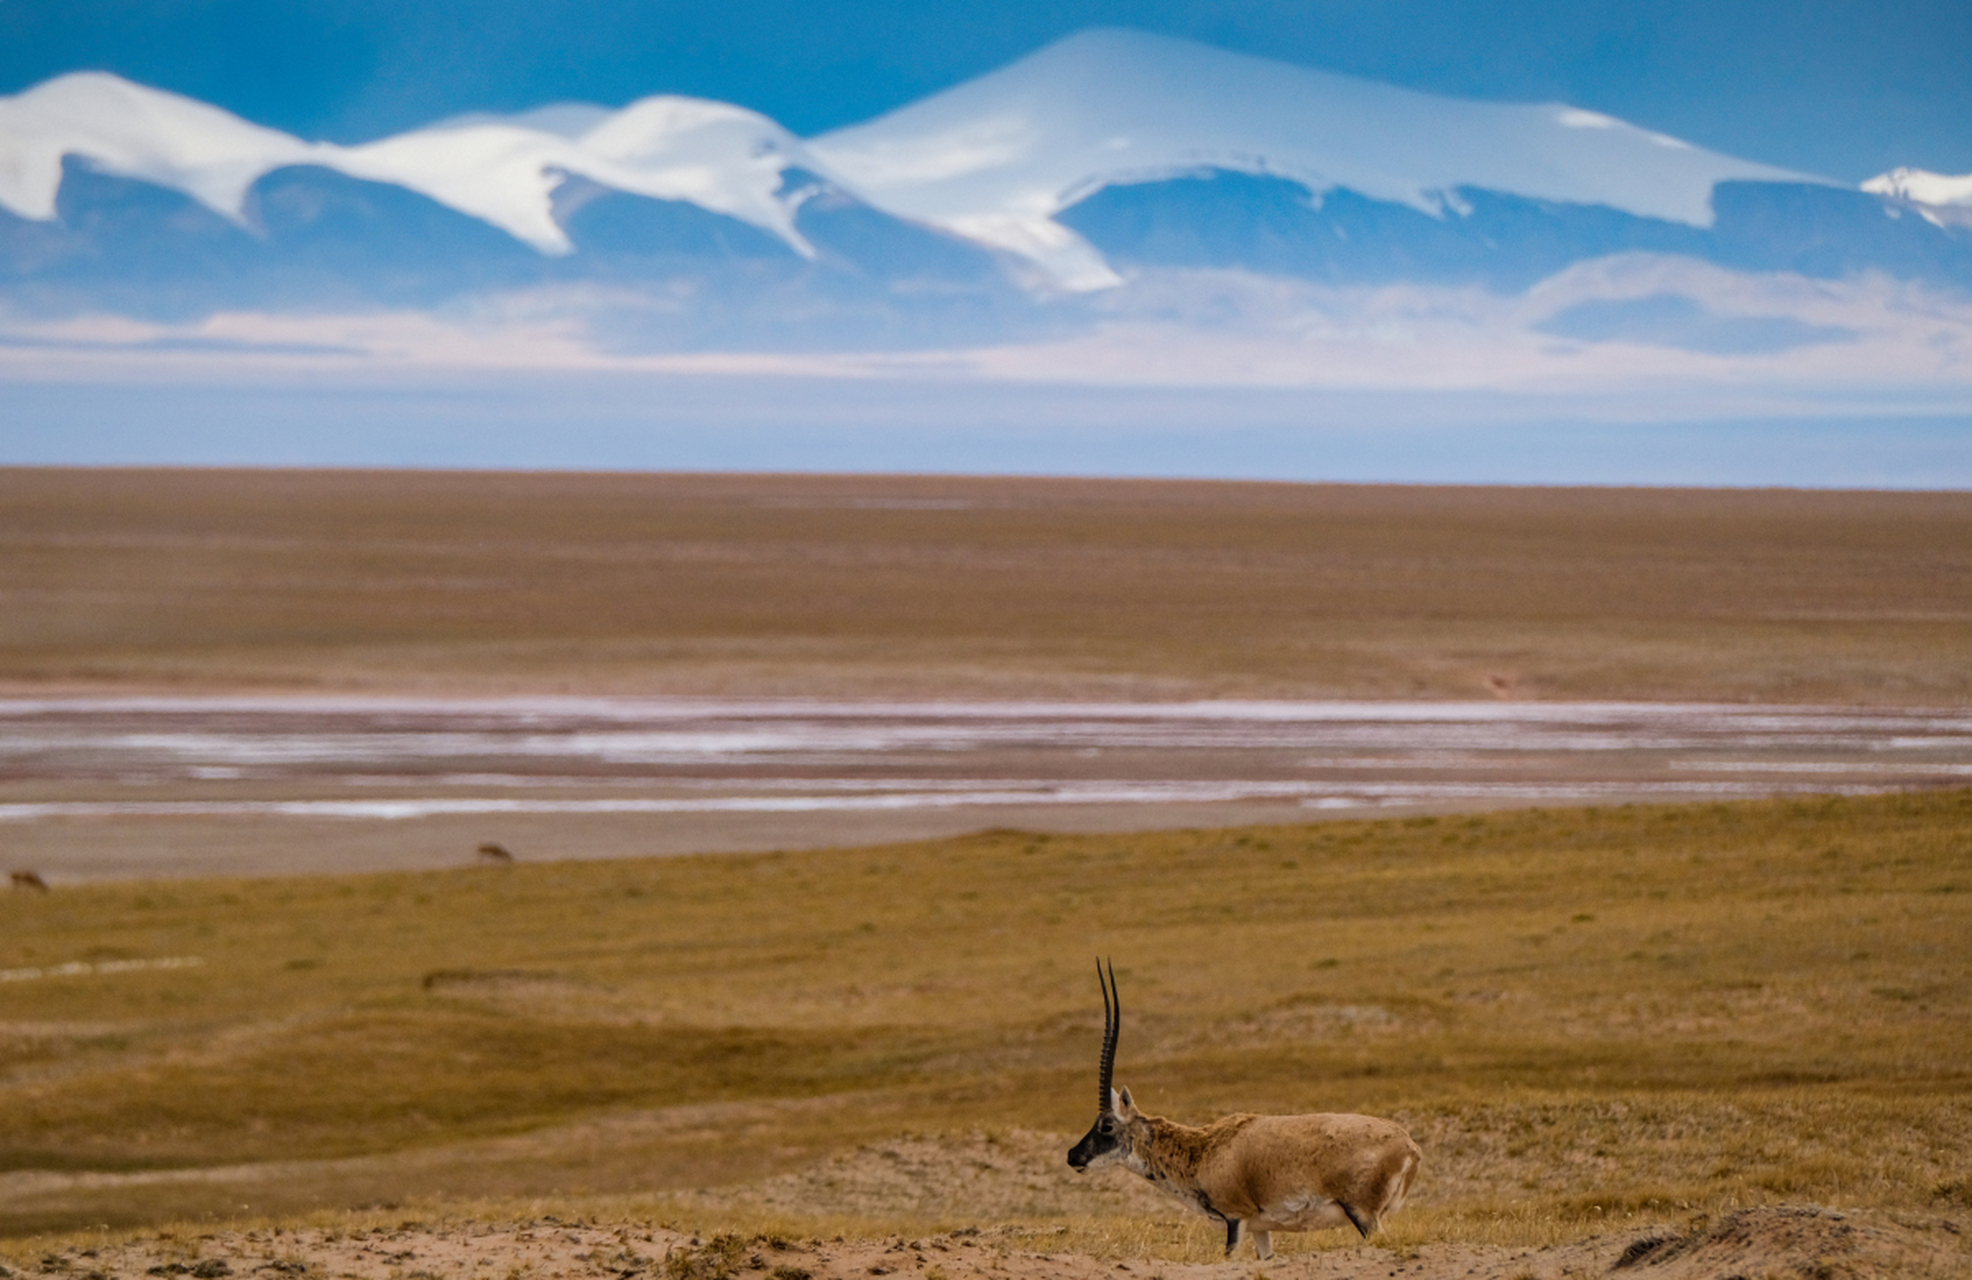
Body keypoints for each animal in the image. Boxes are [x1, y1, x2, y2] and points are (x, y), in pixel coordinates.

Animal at [1064, 958, 1419, 1254]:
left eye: (1106, 1125)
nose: (1073, 1156)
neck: (1203, 1149)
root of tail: (1409, 1146)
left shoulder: (1235, 1219)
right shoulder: (1260, 1228)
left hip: (1364, 1216)